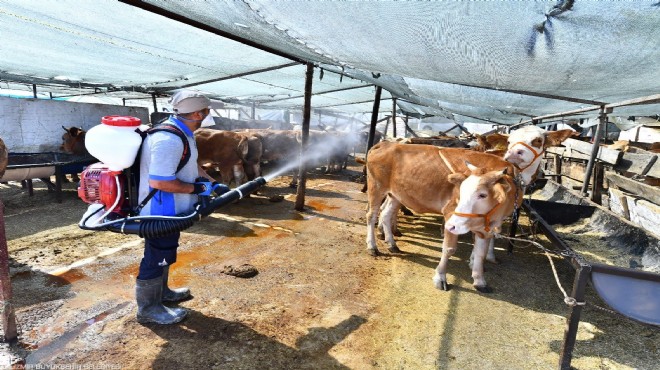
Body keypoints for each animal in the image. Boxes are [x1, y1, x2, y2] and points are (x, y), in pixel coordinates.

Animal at [364, 142, 524, 292]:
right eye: (461, 190)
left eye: (483, 194)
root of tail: (387, 143)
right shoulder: (449, 214)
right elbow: (449, 249)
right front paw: (440, 277)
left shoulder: (486, 230)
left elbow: (480, 253)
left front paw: (479, 281)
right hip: (376, 187)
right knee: (371, 216)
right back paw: (372, 246)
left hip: (396, 195)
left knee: (385, 214)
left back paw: (392, 244)